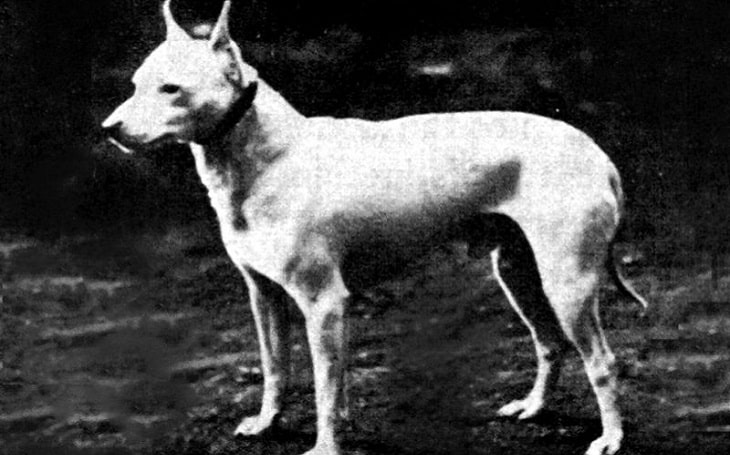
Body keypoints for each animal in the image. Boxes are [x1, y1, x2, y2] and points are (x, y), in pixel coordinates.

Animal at [101, 1, 644, 454]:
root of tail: (595, 153)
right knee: (550, 344)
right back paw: (534, 408)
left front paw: (325, 447)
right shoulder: (265, 297)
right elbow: (279, 369)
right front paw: (268, 423)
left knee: (602, 361)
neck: (268, 158)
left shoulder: (323, 304)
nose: (109, 129)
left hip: (567, 284)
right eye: (135, 84)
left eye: (171, 89)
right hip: (518, 273)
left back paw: (610, 439)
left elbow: (323, 385)